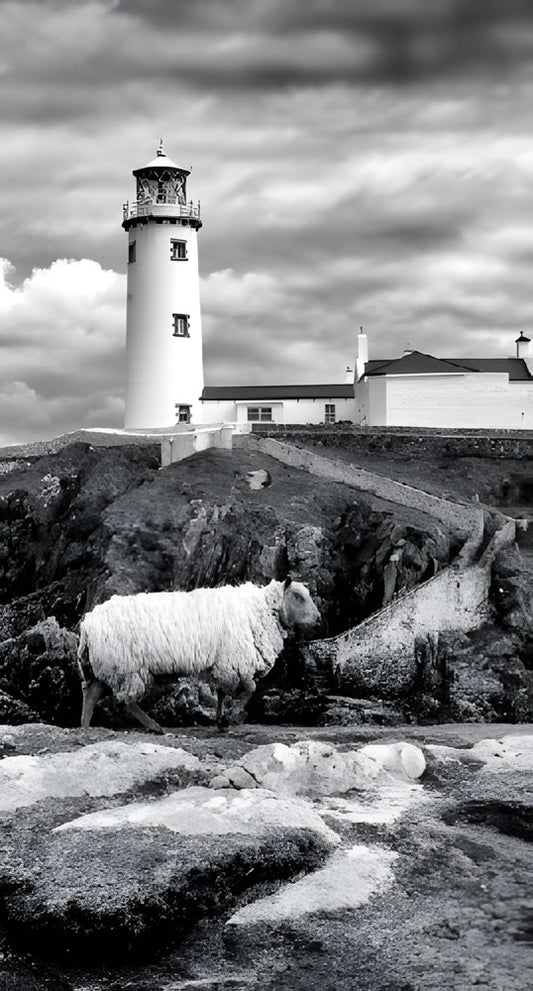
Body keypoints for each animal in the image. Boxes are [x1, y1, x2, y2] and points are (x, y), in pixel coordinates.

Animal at [77, 576, 320, 732]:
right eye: (298, 596)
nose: (318, 620)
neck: (260, 610)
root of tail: (88, 624)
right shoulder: (235, 661)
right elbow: (250, 689)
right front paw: (231, 716)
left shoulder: (223, 664)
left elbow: (222, 692)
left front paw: (222, 721)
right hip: (127, 668)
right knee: (125, 702)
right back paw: (155, 726)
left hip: (107, 668)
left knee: (91, 694)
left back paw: (86, 727)